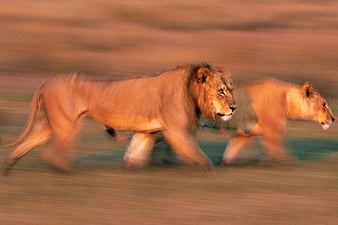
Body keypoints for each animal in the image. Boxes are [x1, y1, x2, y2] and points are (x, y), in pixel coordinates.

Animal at [1, 62, 236, 175]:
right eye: (221, 91)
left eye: (231, 89)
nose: (234, 108)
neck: (190, 92)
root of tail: (46, 82)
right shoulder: (177, 131)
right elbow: (197, 153)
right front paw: (212, 172)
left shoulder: (145, 131)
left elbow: (136, 152)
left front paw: (128, 169)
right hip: (66, 124)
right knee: (52, 154)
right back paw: (65, 172)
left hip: (48, 124)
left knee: (30, 144)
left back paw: (8, 169)